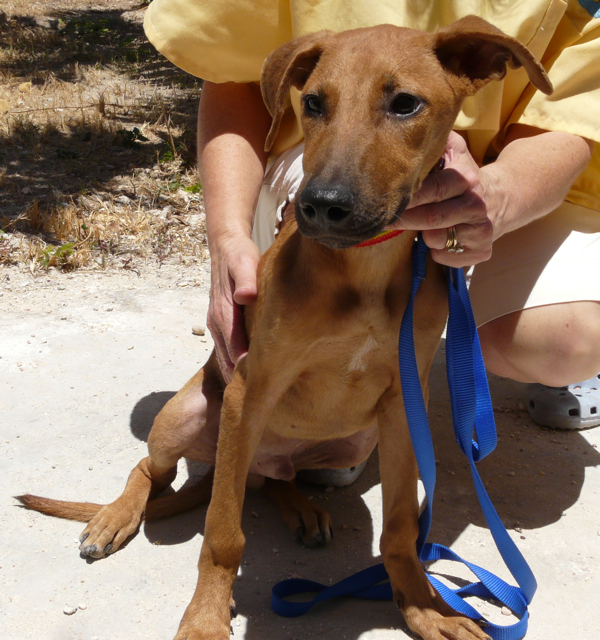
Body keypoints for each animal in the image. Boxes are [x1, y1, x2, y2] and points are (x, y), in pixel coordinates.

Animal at [18, 17, 552, 640]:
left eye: (404, 104)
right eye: (314, 103)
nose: (319, 205)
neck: (364, 271)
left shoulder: (403, 405)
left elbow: (400, 530)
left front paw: (424, 606)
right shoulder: (250, 390)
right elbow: (223, 534)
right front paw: (205, 617)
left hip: (352, 440)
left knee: (278, 477)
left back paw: (301, 507)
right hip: (188, 416)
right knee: (151, 471)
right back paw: (114, 517)